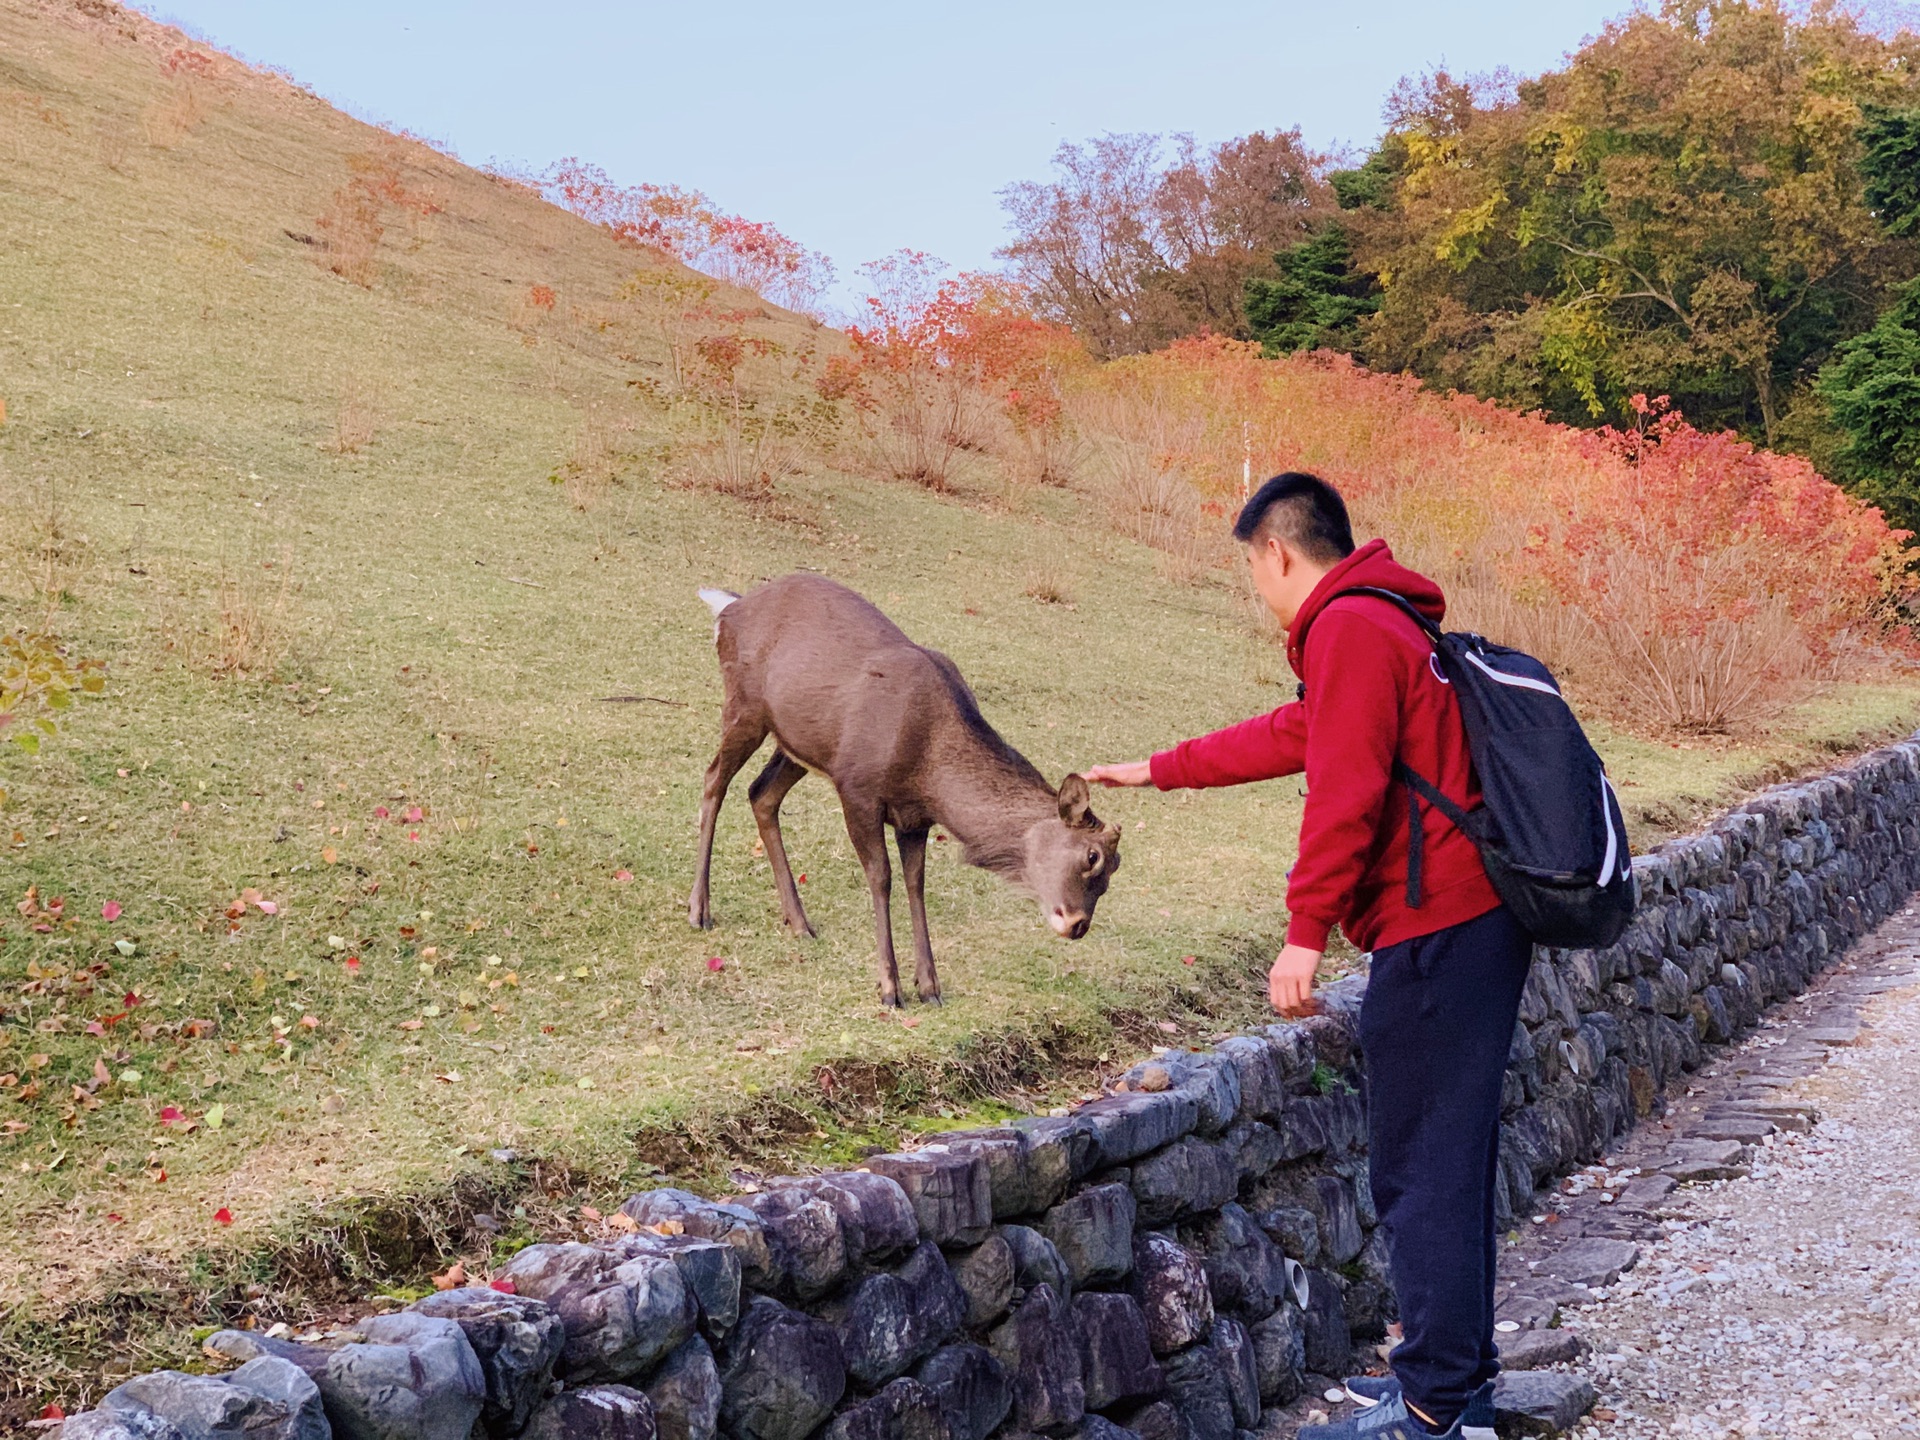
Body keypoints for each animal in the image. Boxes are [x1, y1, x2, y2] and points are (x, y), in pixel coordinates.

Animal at [691, 572, 1121, 1006]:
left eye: (1114, 867)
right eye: (1092, 857)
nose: (1078, 924)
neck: (927, 769)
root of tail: (729, 609)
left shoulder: (915, 819)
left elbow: (916, 883)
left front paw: (929, 985)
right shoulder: (858, 790)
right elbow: (881, 877)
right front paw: (889, 987)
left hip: (798, 744)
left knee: (761, 794)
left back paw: (799, 922)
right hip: (744, 706)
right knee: (714, 780)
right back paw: (700, 910)